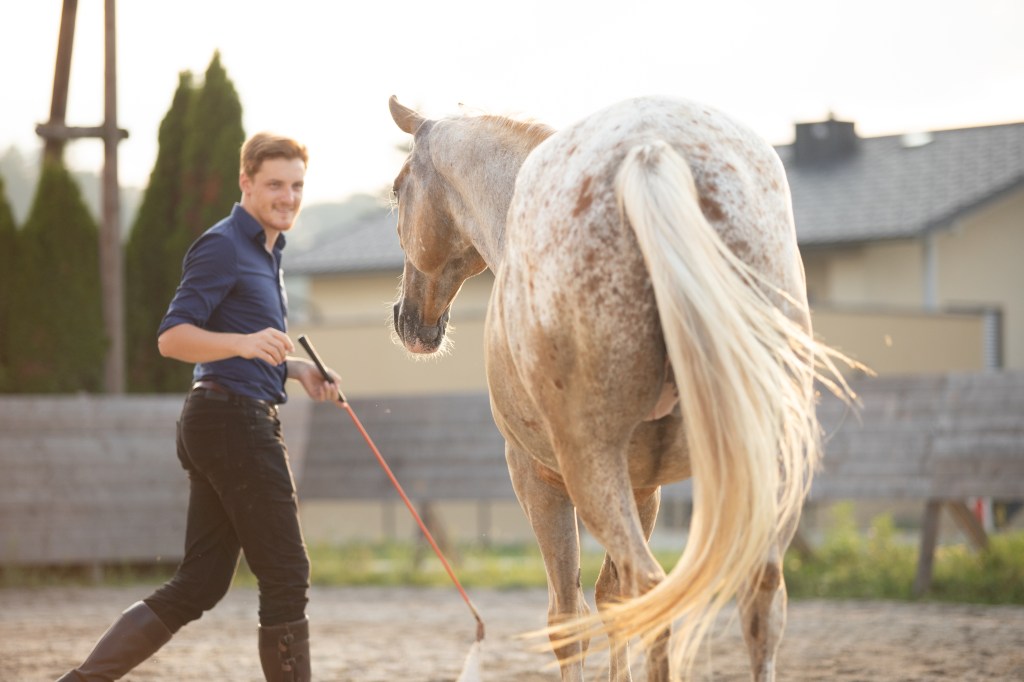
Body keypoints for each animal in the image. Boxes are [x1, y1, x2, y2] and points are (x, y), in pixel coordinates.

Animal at [387, 94, 848, 681]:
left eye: (397, 190)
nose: (407, 320)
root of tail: (651, 153)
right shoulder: (645, 487)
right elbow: (613, 600)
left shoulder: (538, 480)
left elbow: (568, 615)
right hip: (764, 467)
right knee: (757, 598)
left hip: (591, 471)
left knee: (654, 589)